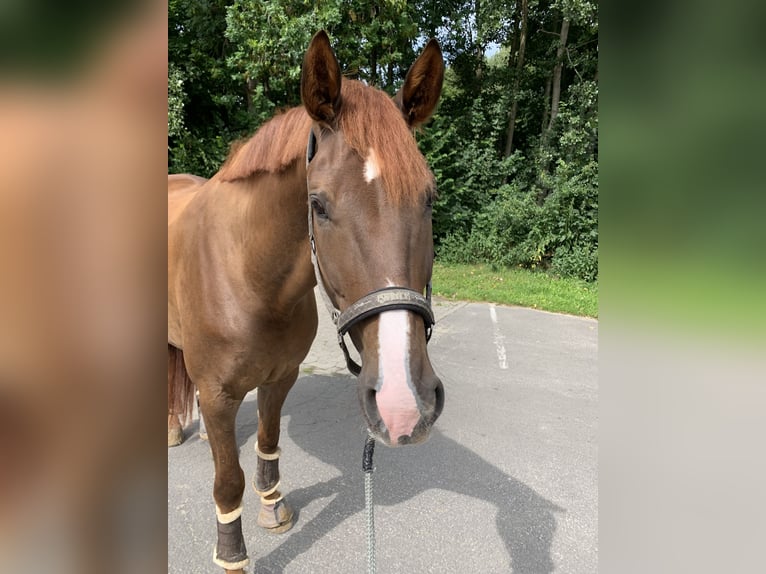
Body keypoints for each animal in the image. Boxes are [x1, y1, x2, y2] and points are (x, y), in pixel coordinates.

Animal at [168, 31, 445, 572]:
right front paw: (232, 554)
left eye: (428, 198)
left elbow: (268, 442)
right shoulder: (216, 394)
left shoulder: (281, 377)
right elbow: (227, 479)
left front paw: (273, 508)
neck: (250, 278)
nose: (404, 404)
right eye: (317, 204)